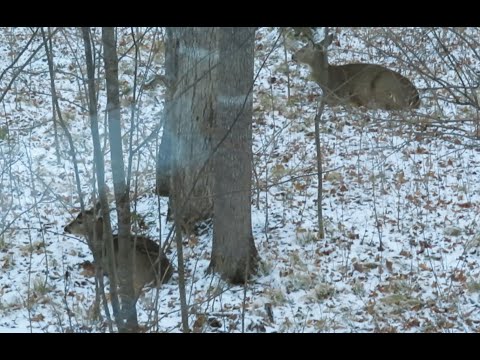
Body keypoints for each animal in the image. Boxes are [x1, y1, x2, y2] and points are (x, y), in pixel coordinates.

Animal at [288, 33, 420, 109]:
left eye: (303, 50)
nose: (292, 56)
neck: (327, 81)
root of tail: (415, 97)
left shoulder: (338, 94)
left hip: (383, 83)